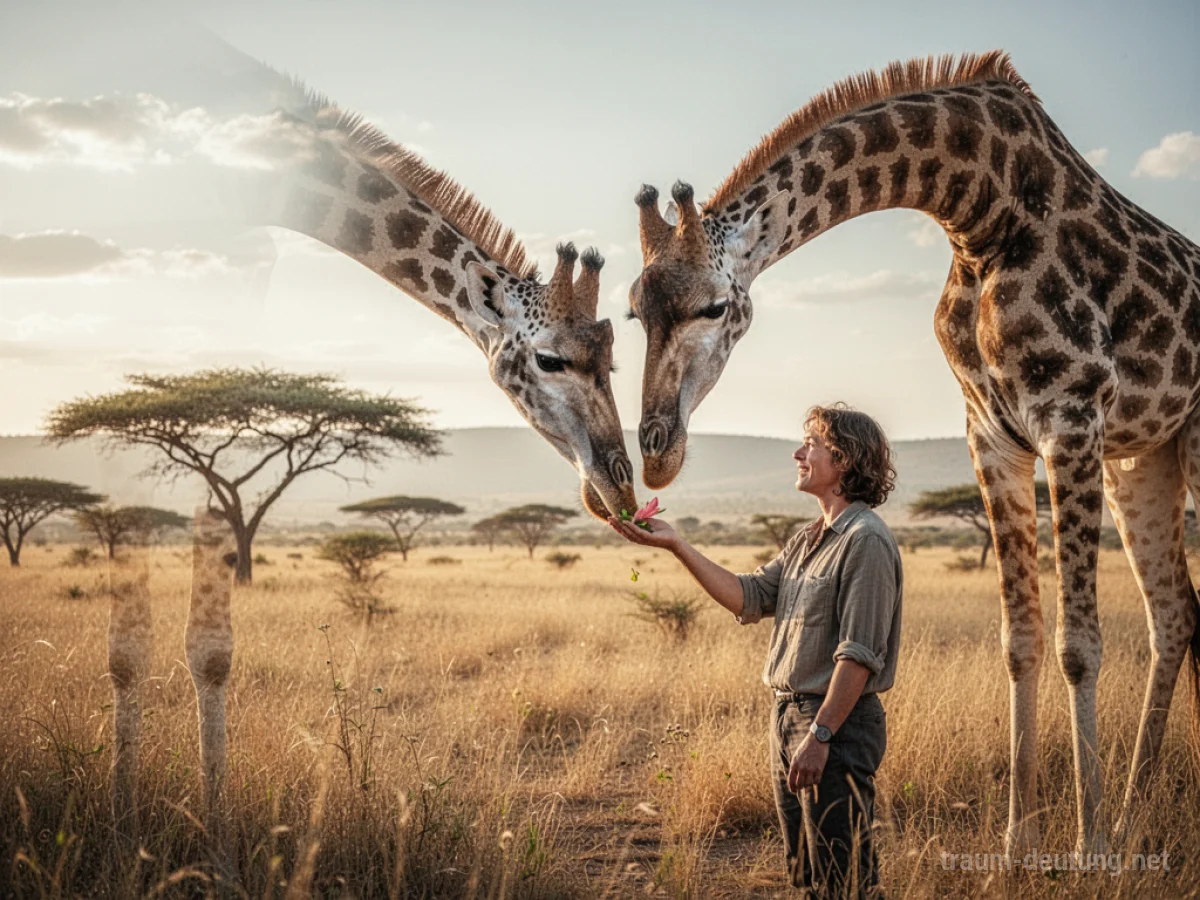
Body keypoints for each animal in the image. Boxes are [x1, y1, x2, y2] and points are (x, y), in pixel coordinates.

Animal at [625, 51, 1200, 855]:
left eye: (713, 307)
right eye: (631, 314)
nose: (657, 454)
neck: (982, 213)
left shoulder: (1070, 417)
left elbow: (1078, 645)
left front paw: (1090, 852)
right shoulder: (992, 435)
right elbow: (1020, 637)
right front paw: (1017, 844)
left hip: (1179, 444)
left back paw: (1117, 826)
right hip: (1142, 459)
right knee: (1174, 613)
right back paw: (1131, 812)